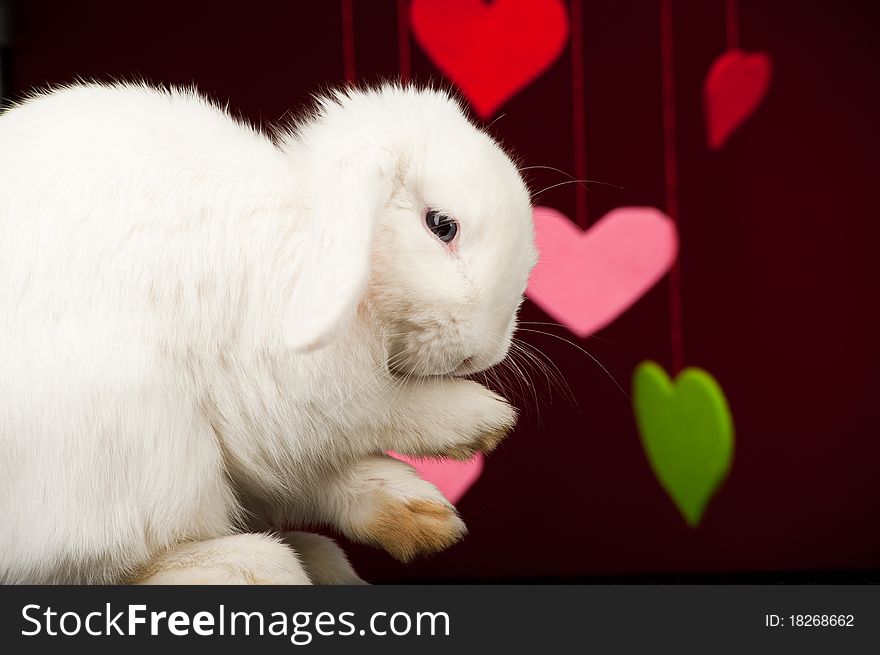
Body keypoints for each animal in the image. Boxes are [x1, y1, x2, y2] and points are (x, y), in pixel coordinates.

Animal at [0, 82, 536, 584]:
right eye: (442, 226)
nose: (481, 355)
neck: (309, 229)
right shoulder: (296, 389)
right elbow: (386, 409)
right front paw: (486, 420)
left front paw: (428, 518)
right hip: (143, 436)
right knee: (109, 563)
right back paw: (254, 565)